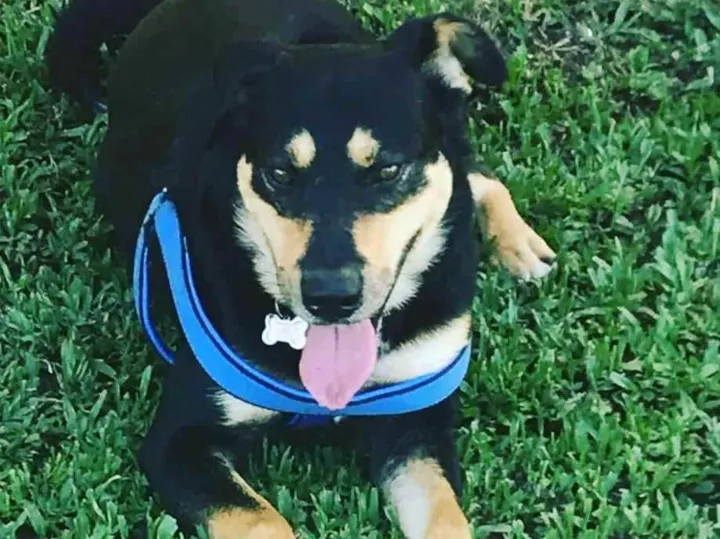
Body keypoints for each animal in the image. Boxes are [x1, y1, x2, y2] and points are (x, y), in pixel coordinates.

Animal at [45, 0, 556, 537]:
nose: (330, 297)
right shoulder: (181, 441)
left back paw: (520, 245)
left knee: (477, 175)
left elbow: (444, 518)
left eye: (387, 170)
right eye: (280, 174)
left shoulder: (417, 418)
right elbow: (260, 521)